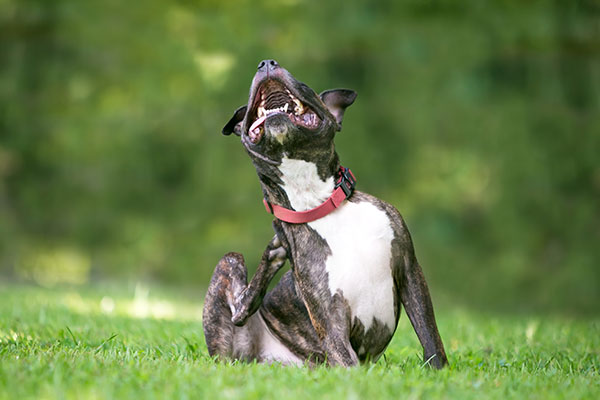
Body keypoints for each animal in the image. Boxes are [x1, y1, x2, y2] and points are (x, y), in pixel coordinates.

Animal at [204, 59, 448, 368]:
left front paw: (439, 373)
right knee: (238, 310)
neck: (317, 202)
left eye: (304, 85)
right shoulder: (330, 319)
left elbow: (430, 338)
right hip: (230, 275)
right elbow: (347, 362)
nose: (267, 62)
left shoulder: (410, 271)